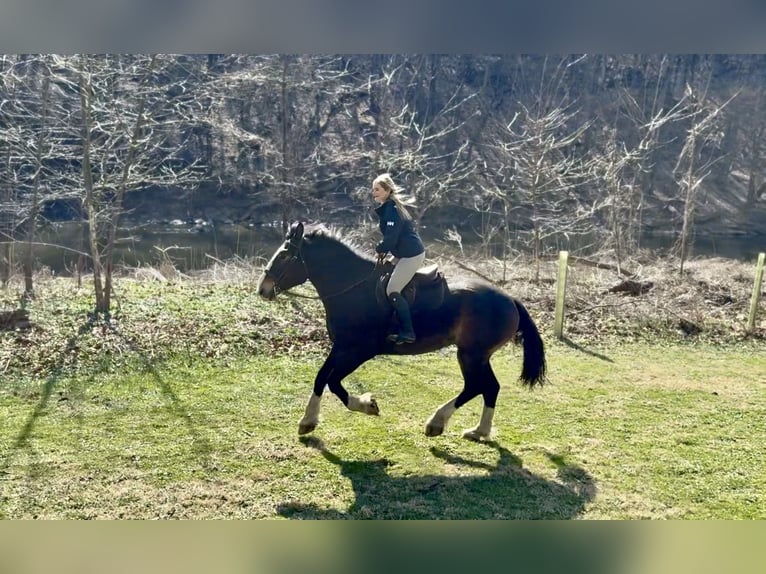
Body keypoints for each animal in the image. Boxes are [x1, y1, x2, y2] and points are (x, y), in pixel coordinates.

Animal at [257, 221, 547, 440]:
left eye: (285, 255)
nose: (263, 288)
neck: (352, 287)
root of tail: (510, 299)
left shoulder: (359, 351)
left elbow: (333, 381)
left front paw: (366, 405)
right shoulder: (342, 346)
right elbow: (321, 378)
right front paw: (308, 421)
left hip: (471, 354)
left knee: (477, 386)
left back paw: (437, 422)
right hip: (477, 355)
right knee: (490, 387)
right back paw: (479, 431)